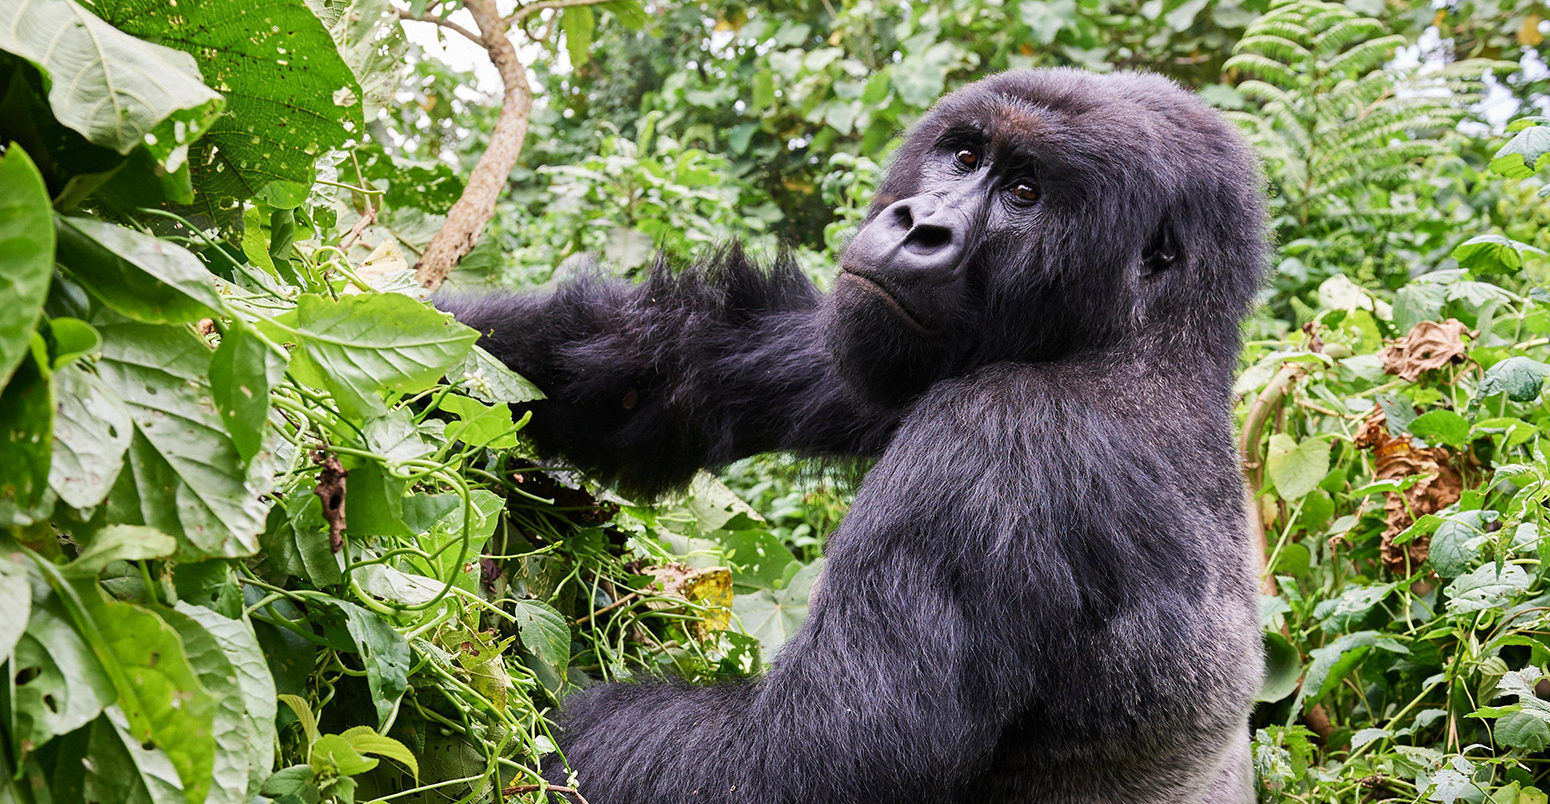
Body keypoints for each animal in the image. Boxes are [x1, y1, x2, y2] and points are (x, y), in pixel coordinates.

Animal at [443, 70, 1264, 804]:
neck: (1144, 340)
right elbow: (688, 369)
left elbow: (800, 762)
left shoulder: (1002, 440)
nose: (919, 225)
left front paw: (536, 741)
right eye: (965, 155)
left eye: (1025, 193)